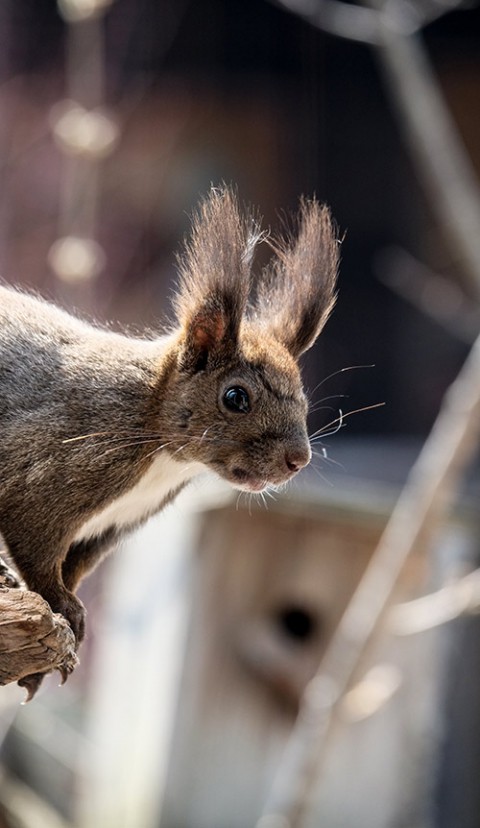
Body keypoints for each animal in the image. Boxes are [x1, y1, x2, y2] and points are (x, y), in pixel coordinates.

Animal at [0, 188, 338, 680]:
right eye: (235, 397)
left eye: (305, 401)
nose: (299, 460)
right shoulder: (51, 466)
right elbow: (37, 550)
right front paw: (63, 608)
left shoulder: (113, 524)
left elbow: (74, 565)